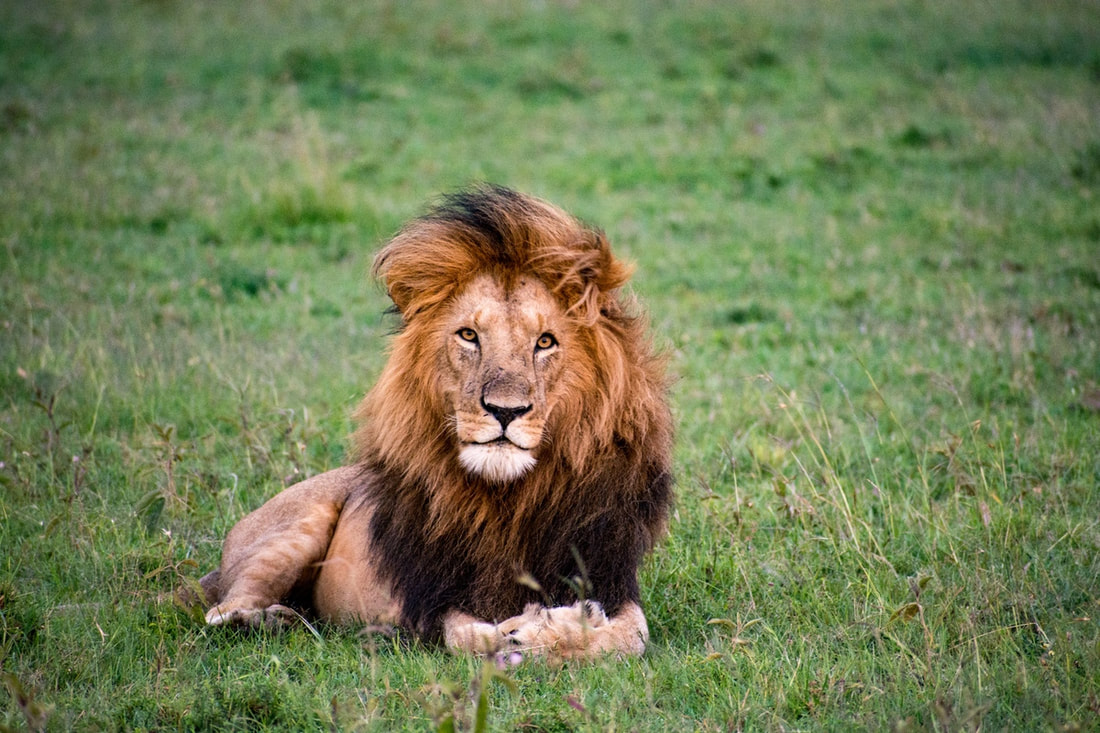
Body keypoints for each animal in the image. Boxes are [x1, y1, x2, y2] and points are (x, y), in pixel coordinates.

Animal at [199, 185, 673, 660]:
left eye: (545, 342)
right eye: (468, 336)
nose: (505, 410)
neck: (510, 501)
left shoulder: (608, 573)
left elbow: (631, 635)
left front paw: (560, 628)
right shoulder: (435, 599)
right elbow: (472, 636)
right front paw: (525, 631)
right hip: (290, 532)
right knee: (221, 610)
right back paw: (268, 619)